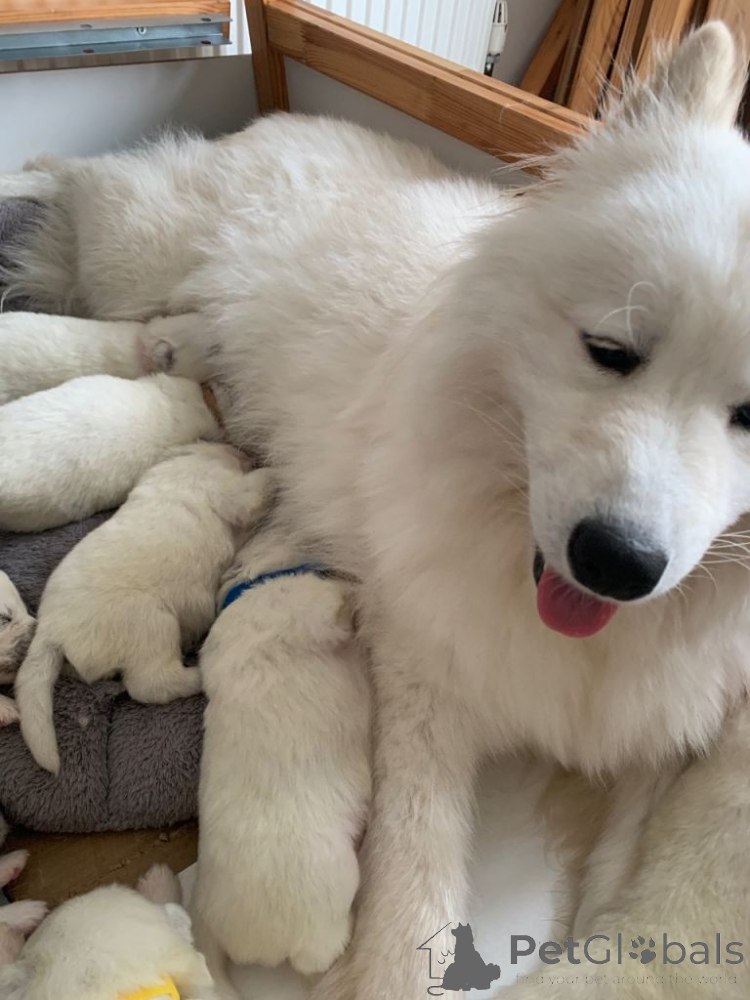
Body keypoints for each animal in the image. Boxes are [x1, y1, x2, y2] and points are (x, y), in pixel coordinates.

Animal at [15, 449, 271, 774]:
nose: (244, 453)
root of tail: (50, 630)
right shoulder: (226, 490)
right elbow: (253, 488)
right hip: (154, 623)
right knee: (149, 684)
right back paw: (197, 675)